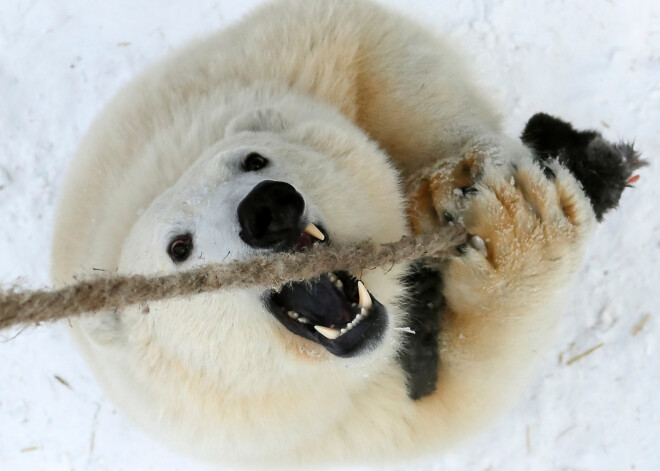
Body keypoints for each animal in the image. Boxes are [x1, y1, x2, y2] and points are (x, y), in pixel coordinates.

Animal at [51, 0, 644, 468]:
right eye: (178, 248)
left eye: (253, 158)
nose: (267, 208)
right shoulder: (326, 423)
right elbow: (456, 399)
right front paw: (521, 233)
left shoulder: (284, 65)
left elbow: (382, 55)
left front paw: (454, 183)